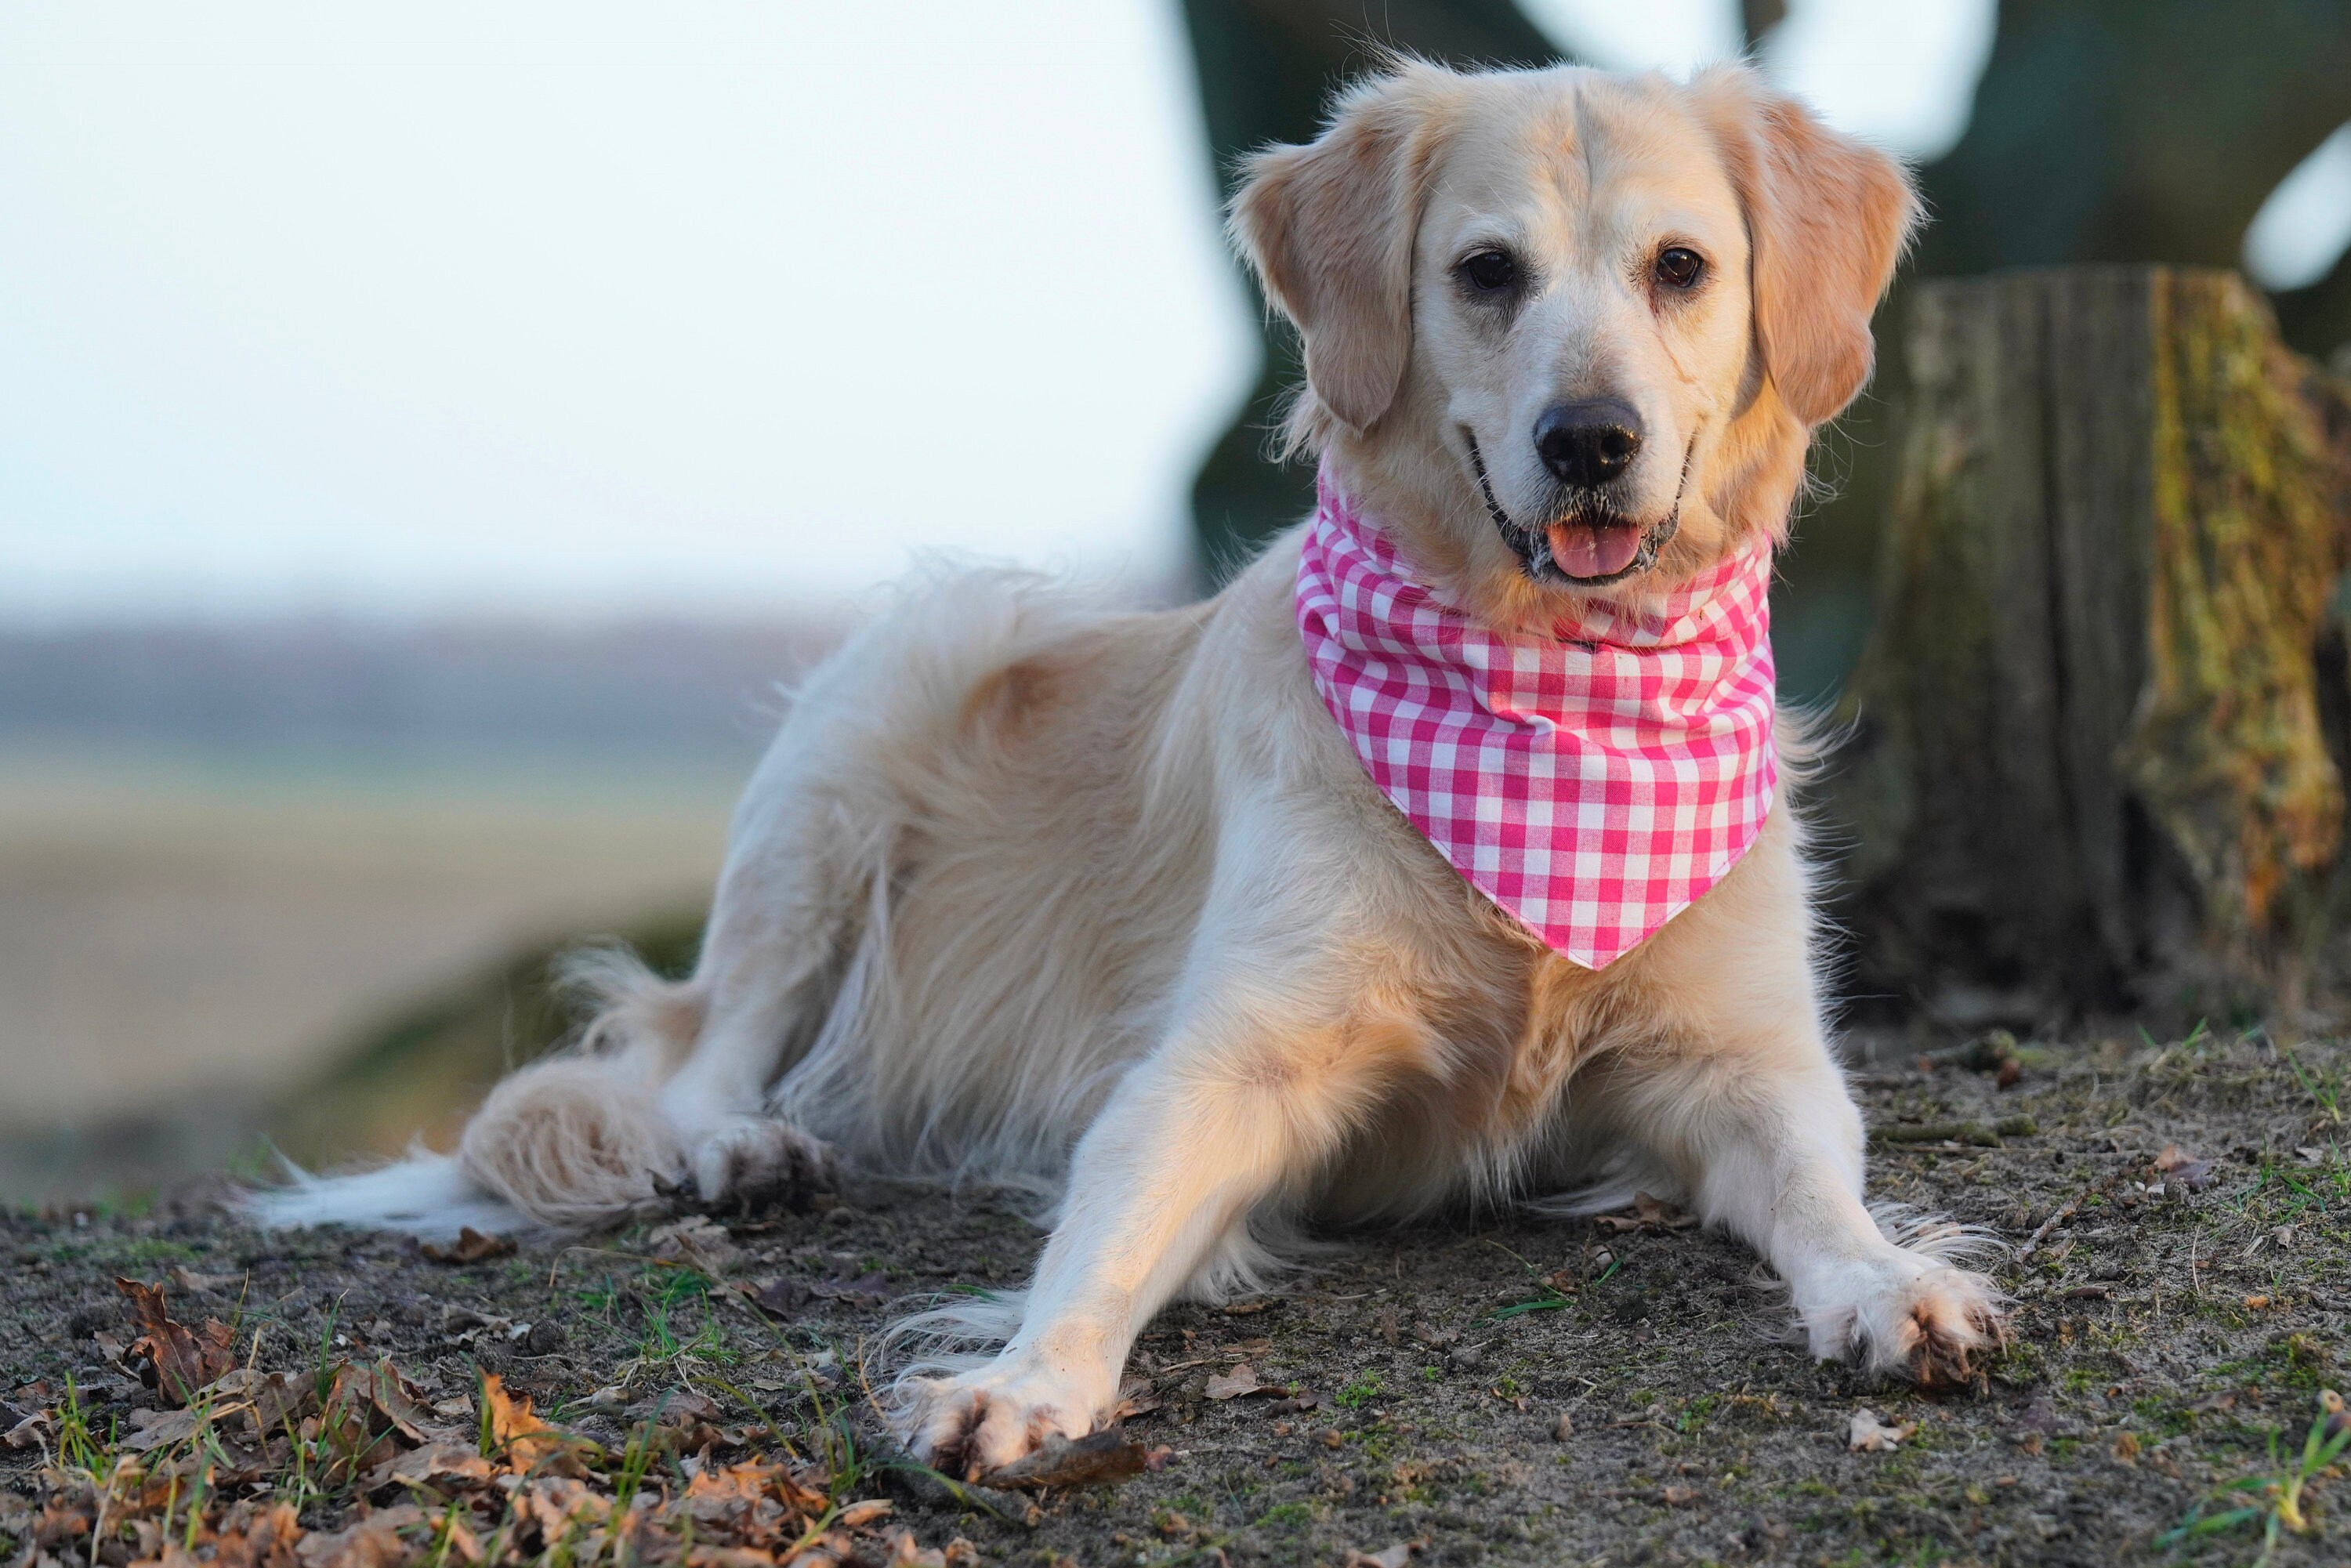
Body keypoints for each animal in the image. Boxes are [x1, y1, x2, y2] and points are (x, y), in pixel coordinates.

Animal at [262, 61, 2003, 1486]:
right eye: (1485, 273)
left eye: (1682, 268)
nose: (1590, 440)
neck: (1545, 709)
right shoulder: (1224, 1058)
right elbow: (1108, 1228)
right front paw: (1023, 1379)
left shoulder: (1746, 1052)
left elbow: (1822, 1184)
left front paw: (1889, 1281)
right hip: (895, 685)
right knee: (706, 1051)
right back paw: (741, 1147)